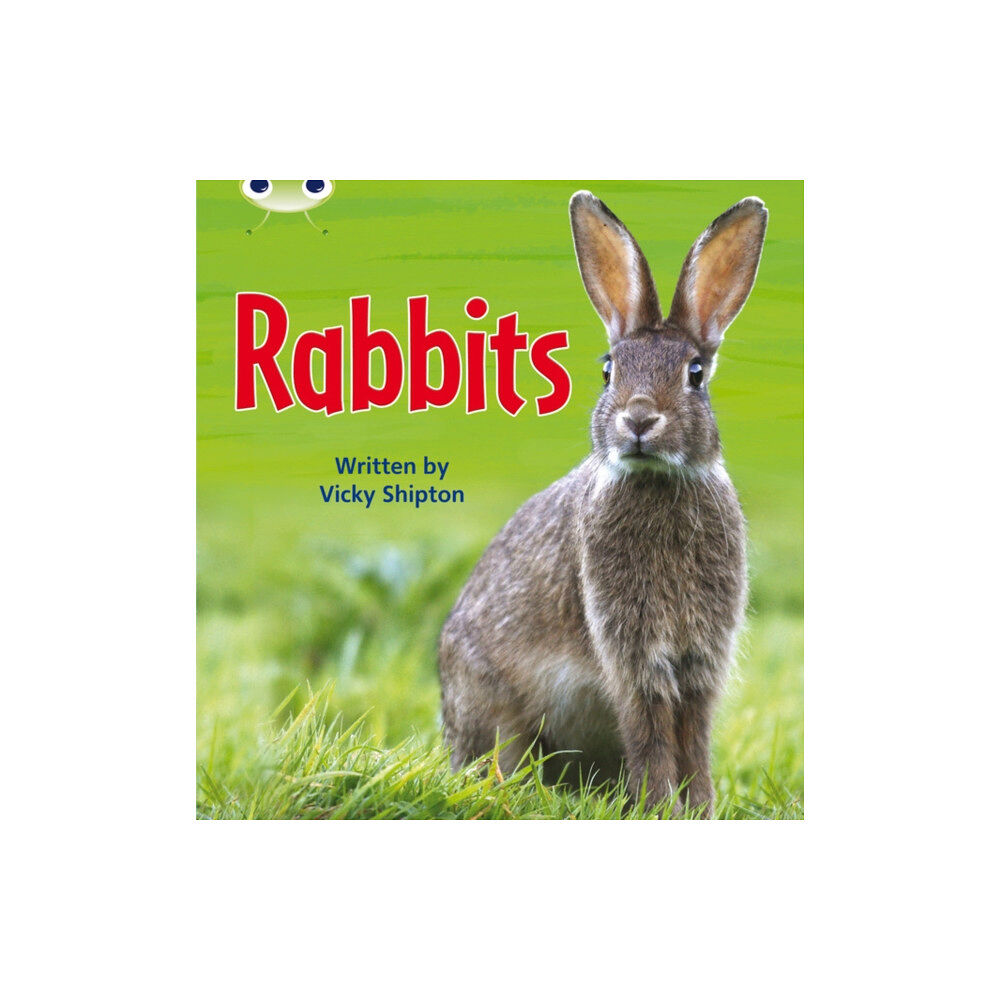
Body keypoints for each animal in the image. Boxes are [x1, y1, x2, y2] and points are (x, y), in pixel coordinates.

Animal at [438, 191, 767, 817]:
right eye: (609, 370)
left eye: (695, 374)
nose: (638, 420)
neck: (657, 481)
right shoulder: (632, 653)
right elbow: (652, 731)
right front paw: (661, 807)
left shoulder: (698, 659)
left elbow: (693, 734)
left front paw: (698, 808)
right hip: (495, 710)